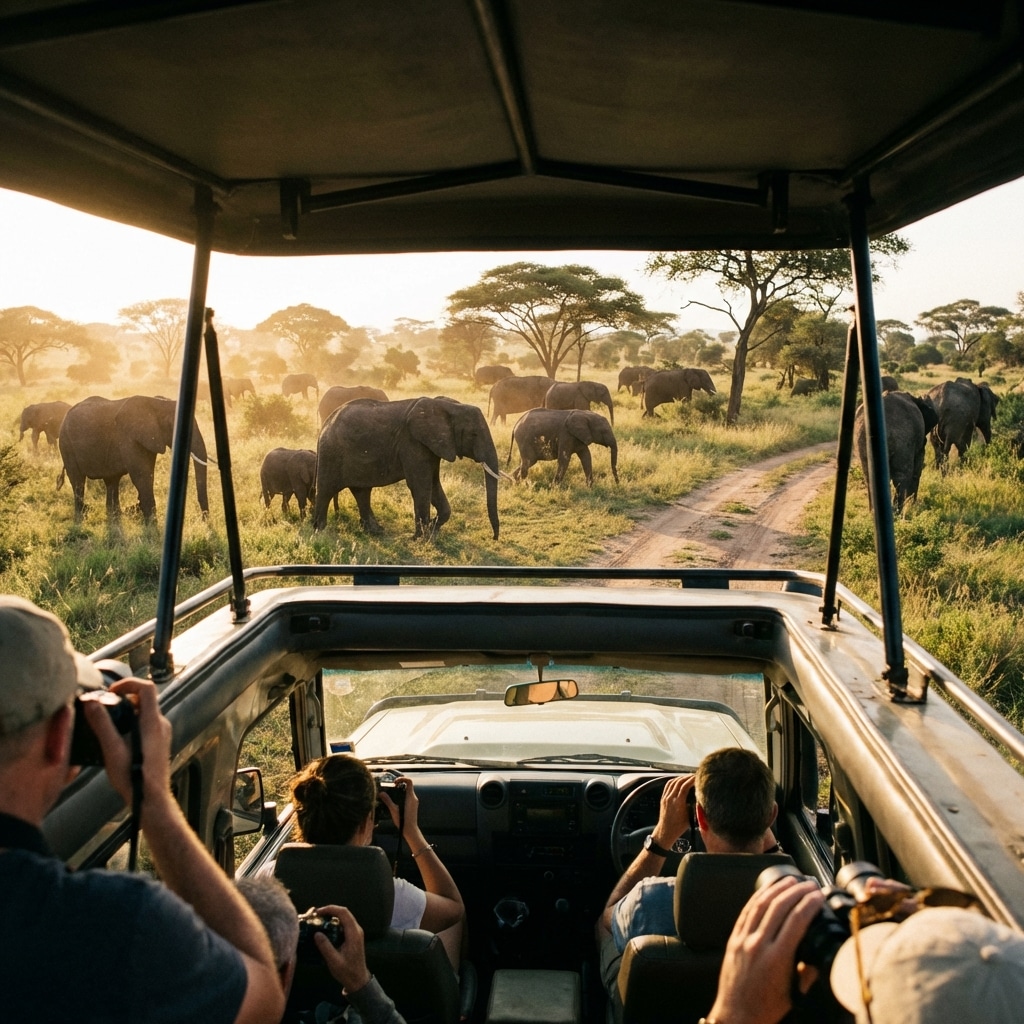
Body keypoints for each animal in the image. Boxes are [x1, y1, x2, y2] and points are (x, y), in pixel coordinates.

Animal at [57, 395, 209, 520]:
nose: (204, 519)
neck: (157, 403)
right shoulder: (129, 438)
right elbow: (141, 476)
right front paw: (151, 524)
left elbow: (148, 474)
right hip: (66, 443)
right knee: (77, 480)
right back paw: (82, 515)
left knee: (111, 480)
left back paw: (114, 515)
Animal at [313, 396, 500, 539]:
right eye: (473, 434)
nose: (494, 537)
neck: (446, 405)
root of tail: (325, 424)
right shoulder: (412, 444)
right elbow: (421, 485)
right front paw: (421, 538)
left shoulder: (431, 447)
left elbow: (433, 483)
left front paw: (432, 531)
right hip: (331, 453)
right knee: (326, 490)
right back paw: (319, 532)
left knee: (362, 492)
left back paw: (376, 531)